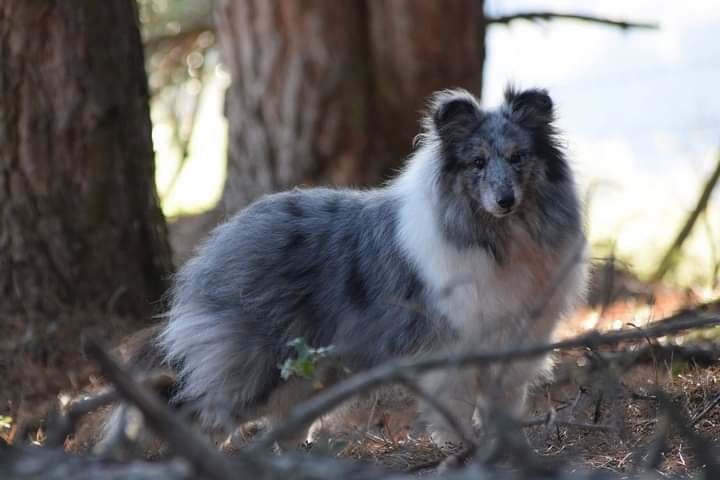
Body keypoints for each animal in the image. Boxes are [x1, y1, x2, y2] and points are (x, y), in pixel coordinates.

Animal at [109, 85, 588, 446]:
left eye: (518, 157)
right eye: (477, 162)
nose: (505, 200)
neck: (498, 238)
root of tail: (214, 247)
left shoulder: (516, 344)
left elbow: (502, 409)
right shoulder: (451, 351)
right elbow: (455, 411)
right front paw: (460, 452)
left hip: (313, 375)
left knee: (283, 427)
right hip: (255, 367)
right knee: (199, 413)